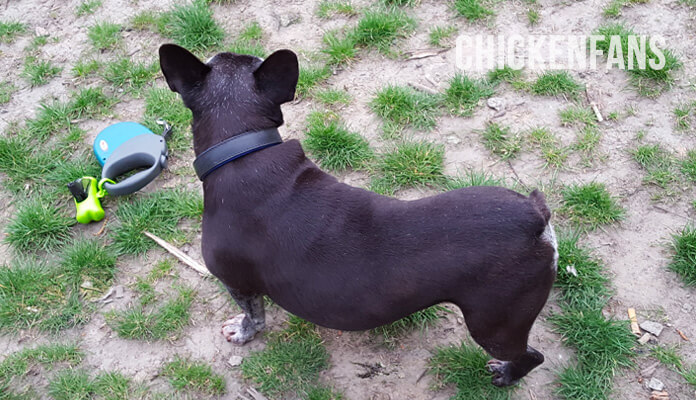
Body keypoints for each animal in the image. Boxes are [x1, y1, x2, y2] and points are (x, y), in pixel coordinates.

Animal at [160, 43, 556, 388]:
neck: (242, 147)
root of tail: (534, 215)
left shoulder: (237, 283)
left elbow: (253, 315)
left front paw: (243, 332)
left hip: (493, 323)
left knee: (532, 355)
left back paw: (506, 375)